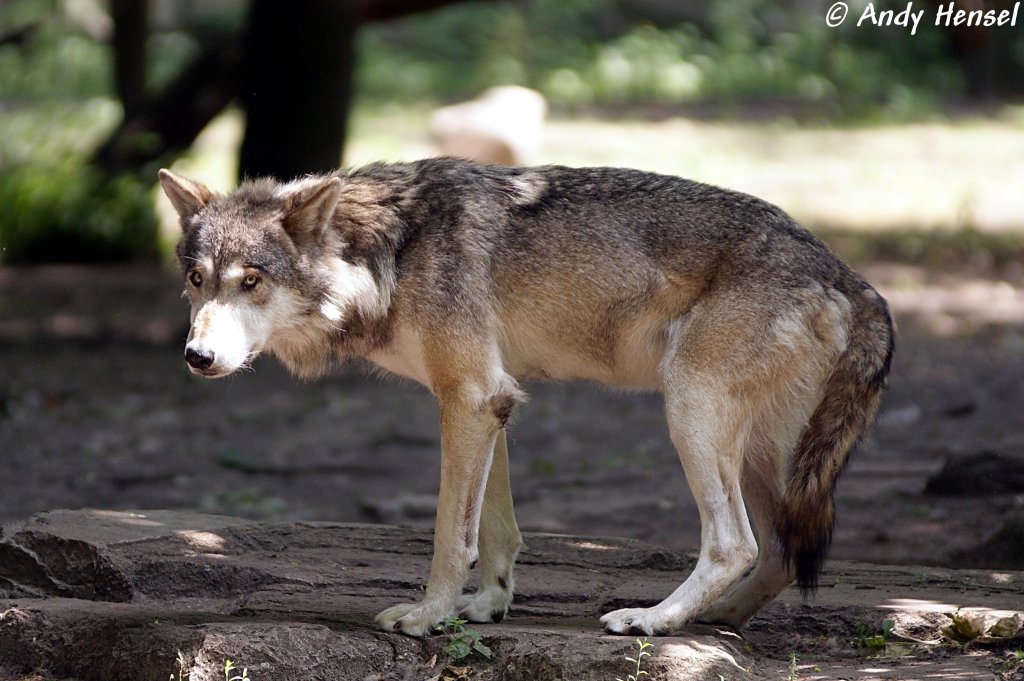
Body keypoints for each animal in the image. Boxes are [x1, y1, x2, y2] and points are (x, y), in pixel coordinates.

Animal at [155, 159, 892, 639]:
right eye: (196, 280)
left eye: (252, 281)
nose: (198, 357)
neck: (389, 252)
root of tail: (847, 274)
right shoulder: (492, 400)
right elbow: (496, 529)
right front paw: (487, 606)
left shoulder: (469, 397)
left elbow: (450, 534)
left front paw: (427, 617)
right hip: (761, 451)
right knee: (780, 550)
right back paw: (715, 620)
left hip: (691, 412)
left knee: (734, 544)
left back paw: (653, 619)